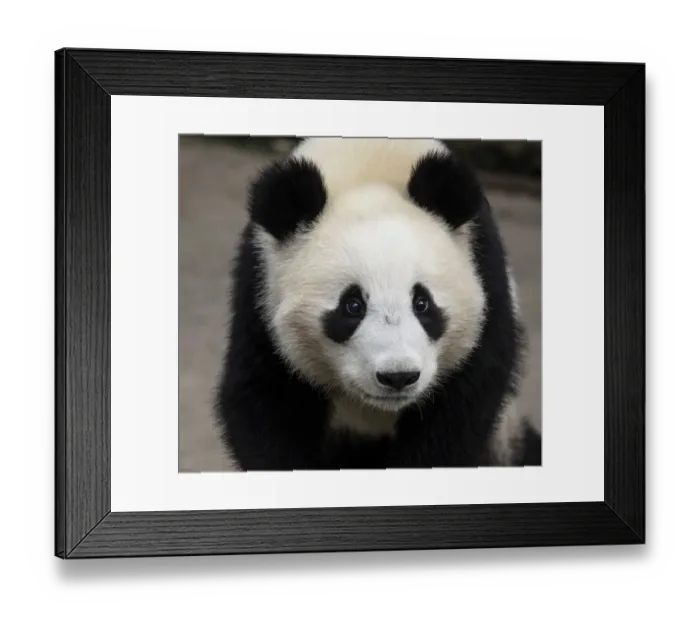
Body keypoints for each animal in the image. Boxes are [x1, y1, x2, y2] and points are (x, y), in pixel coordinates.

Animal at [215, 137, 541, 471]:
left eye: (422, 303)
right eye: (352, 305)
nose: (399, 376)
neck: (370, 164)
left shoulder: (486, 279)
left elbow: (460, 410)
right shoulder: (260, 291)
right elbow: (265, 399)